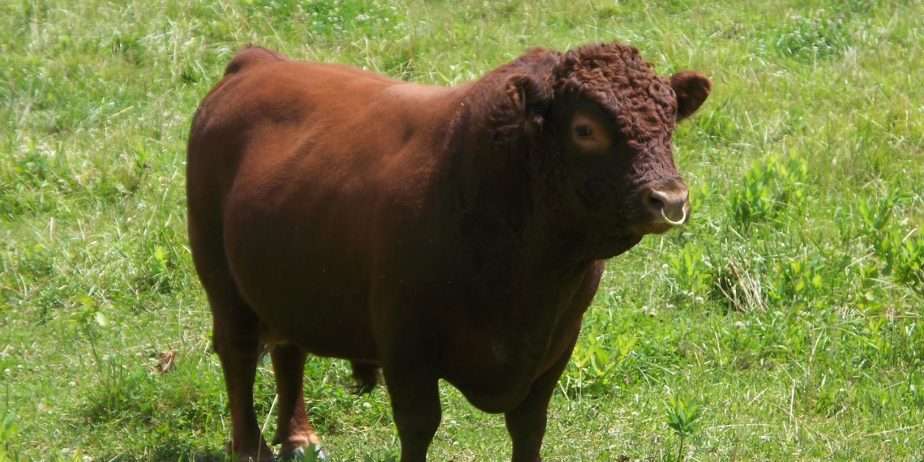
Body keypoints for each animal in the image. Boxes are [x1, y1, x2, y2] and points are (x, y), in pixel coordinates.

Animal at [186, 41, 710, 462]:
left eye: (669, 122)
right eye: (585, 129)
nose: (669, 200)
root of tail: (256, 63)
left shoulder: (556, 346)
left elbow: (529, 427)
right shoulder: (406, 350)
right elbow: (419, 427)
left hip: (284, 279)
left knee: (287, 350)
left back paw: (300, 438)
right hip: (221, 279)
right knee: (237, 353)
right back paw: (251, 447)